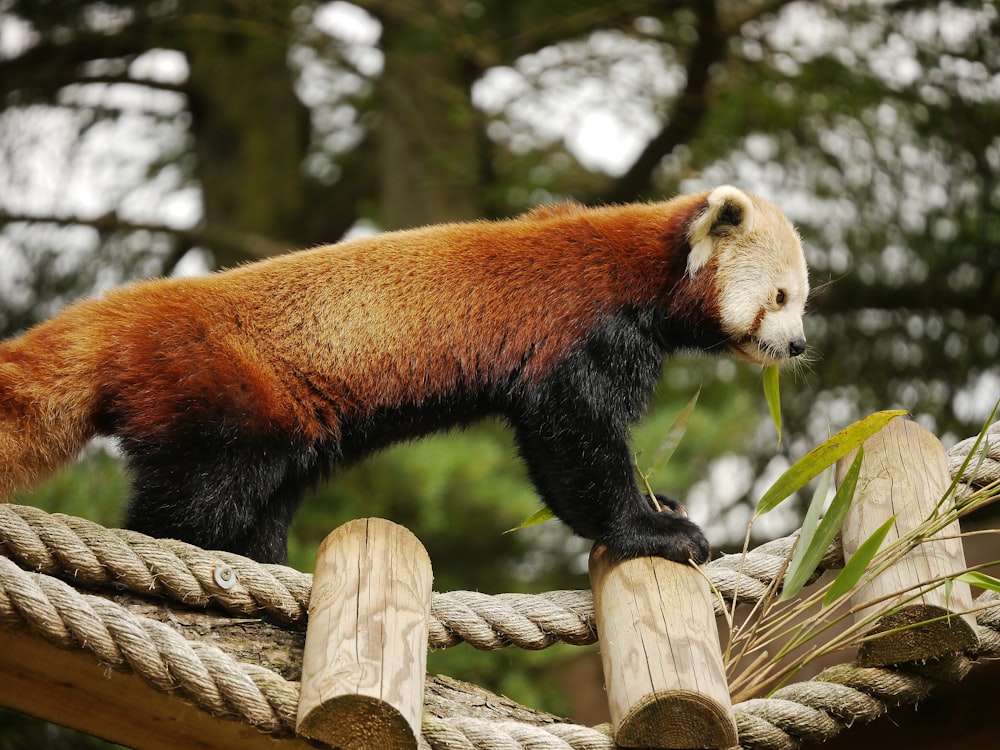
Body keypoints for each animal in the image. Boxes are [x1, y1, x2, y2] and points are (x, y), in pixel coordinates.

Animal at [0, 187, 808, 564]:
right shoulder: (580, 335)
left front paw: (659, 501)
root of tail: (125, 311)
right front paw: (653, 528)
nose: (798, 347)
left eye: (802, 298)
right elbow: (572, 444)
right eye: (780, 297)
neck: (646, 268)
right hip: (216, 389)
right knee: (199, 499)